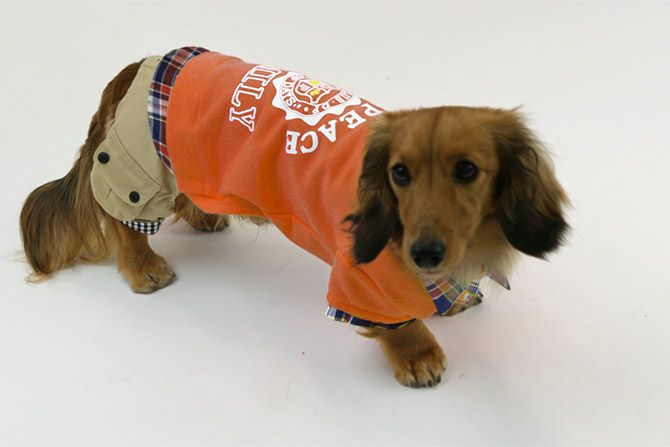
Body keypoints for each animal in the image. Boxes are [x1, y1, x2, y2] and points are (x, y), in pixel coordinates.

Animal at [20, 47, 569, 388]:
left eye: (468, 170)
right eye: (400, 173)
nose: (426, 253)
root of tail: (139, 65)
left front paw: (451, 297)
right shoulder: (359, 279)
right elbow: (395, 322)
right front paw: (418, 354)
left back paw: (201, 217)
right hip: (142, 165)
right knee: (123, 220)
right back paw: (143, 267)